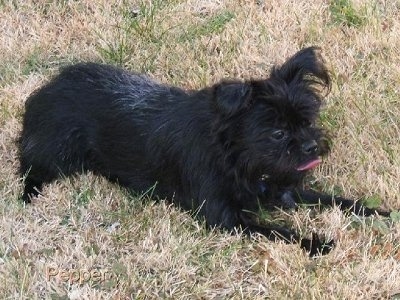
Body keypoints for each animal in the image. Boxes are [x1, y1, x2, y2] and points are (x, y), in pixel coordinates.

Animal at [18, 47, 388, 255]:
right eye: (278, 133)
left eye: (308, 120)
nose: (312, 145)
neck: (234, 157)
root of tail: (50, 87)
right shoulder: (227, 218)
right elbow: (277, 231)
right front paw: (314, 243)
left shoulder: (283, 187)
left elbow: (332, 199)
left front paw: (374, 211)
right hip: (57, 151)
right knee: (29, 165)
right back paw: (29, 195)